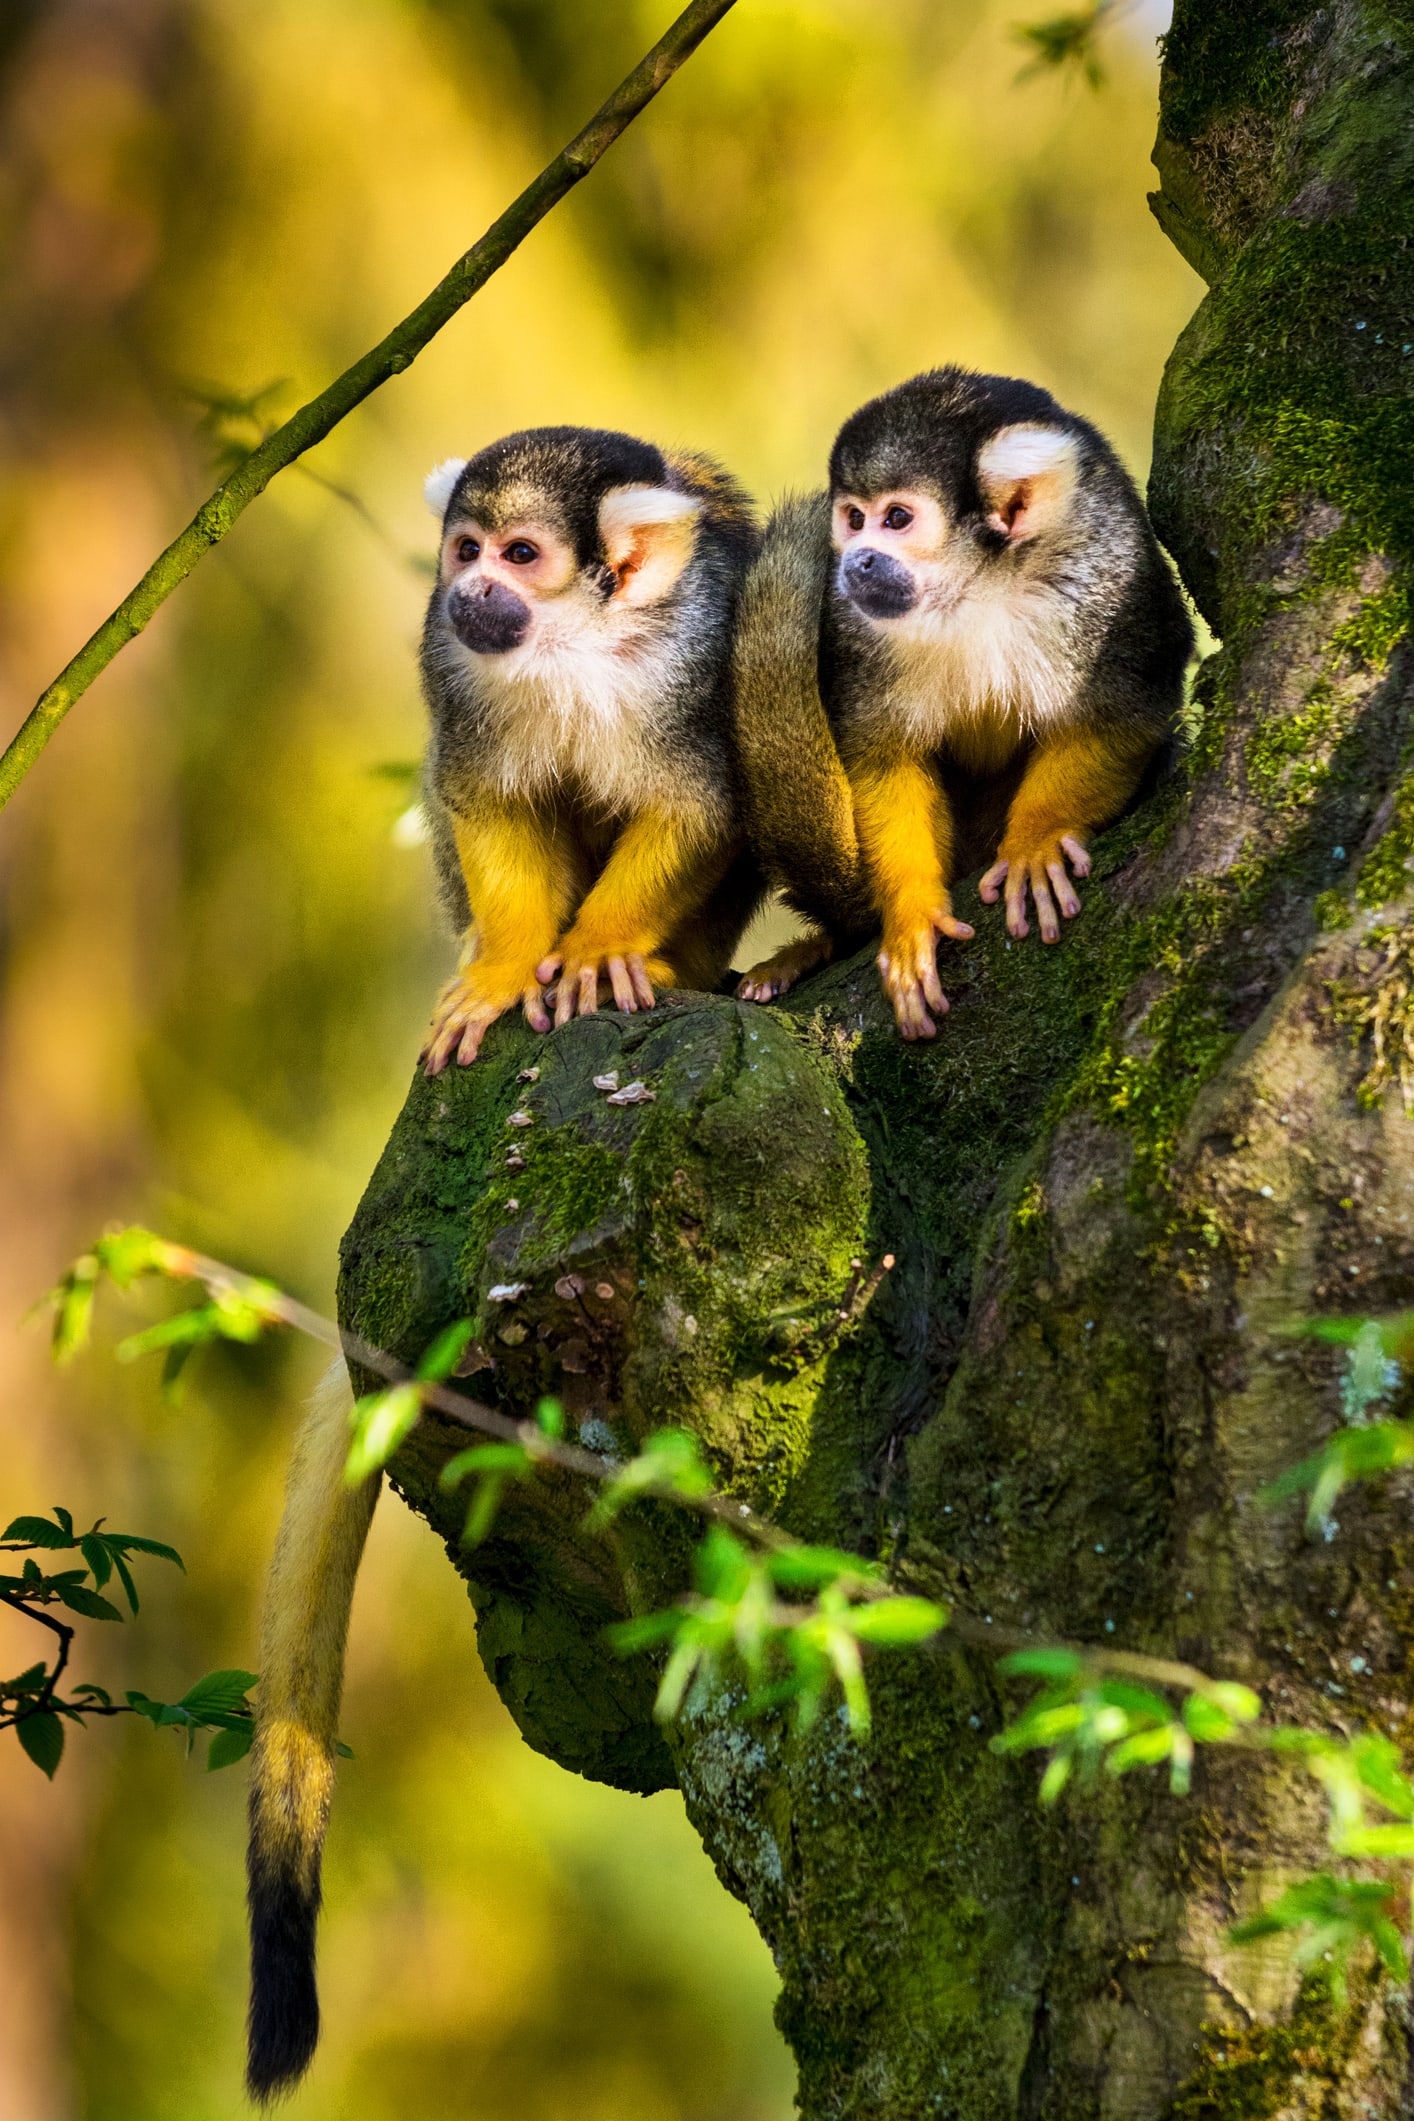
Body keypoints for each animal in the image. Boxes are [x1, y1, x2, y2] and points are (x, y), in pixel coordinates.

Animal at [416, 426, 766, 1073]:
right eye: (468, 550)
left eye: (520, 555)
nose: (470, 591)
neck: (572, 639)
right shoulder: (445, 652)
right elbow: (489, 800)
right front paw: (504, 967)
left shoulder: (694, 649)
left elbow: (700, 809)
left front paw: (600, 948)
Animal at [731, 368, 1195, 1037]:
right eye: (854, 518)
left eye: (897, 518)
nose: (855, 560)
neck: (976, 584)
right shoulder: (854, 621)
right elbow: (885, 755)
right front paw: (911, 913)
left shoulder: (1107, 571)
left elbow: (1122, 710)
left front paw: (1037, 841)